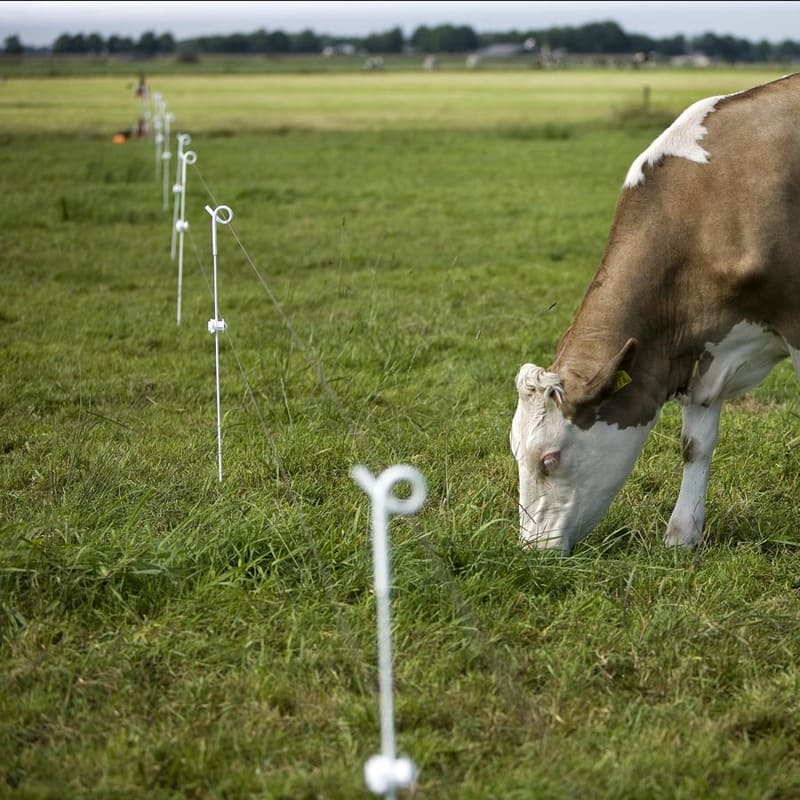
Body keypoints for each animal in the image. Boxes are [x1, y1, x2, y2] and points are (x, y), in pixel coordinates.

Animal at [511, 72, 800, 554]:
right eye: (515, 450)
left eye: (549, 458)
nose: (532, 551)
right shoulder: (702, 349)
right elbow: (694, 443)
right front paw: (682, 534)